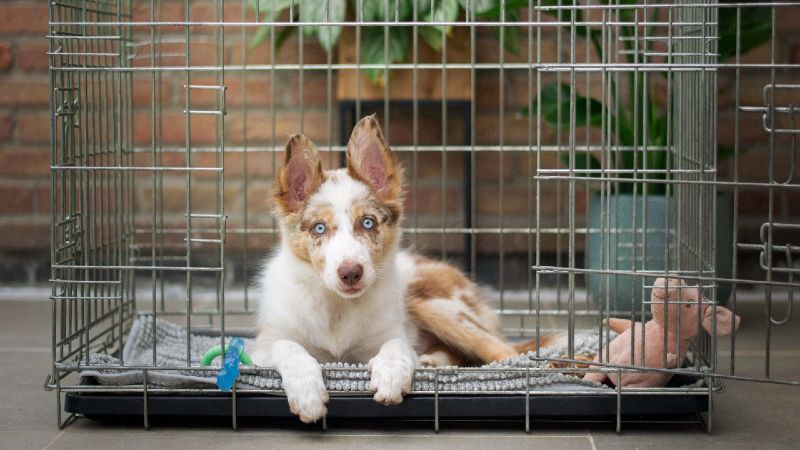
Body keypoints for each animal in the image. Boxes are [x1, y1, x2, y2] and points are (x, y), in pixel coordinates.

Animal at [253, 115, 548, 422]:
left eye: (368, 223)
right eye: (319, 228)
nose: (350, 273)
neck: (337, 307)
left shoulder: (390, 332)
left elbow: (396, 345)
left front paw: (390, 375)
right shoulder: (262, 346)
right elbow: (288, 347)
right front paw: (307, 393)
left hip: (433, 303)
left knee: (506, 352)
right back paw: (432, 362)